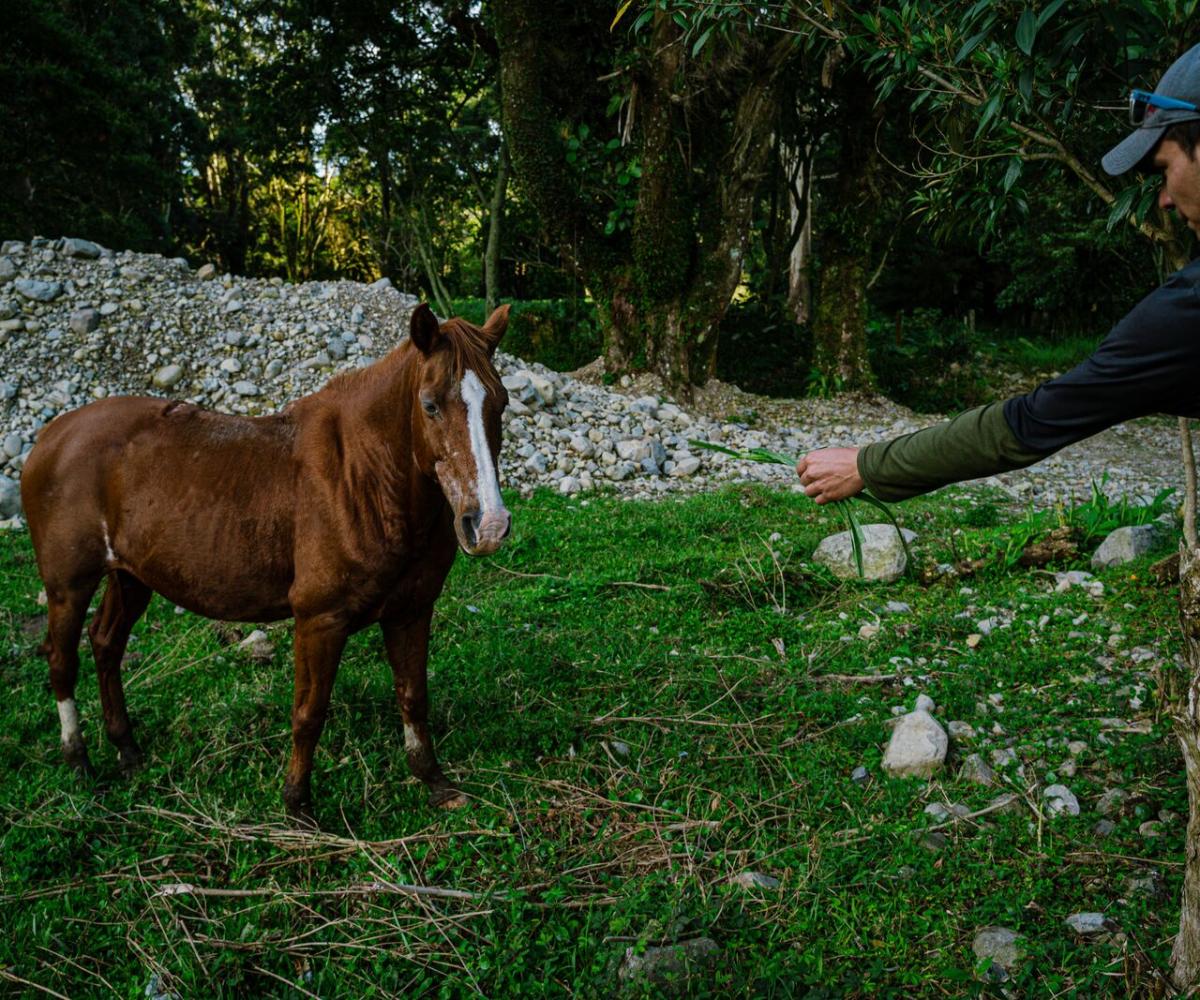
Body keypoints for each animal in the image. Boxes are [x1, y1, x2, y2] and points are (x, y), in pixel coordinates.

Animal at [22, 304, 511, 821]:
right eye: (430, 405)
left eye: (500, 404)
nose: (488, 523)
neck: (364, 477)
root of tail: (52, 435)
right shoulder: (319, 619)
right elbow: (309, 712)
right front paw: (297, 803)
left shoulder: (411, 610)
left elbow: (414, 696)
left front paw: (433, 781)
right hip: (69, 585)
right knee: (62, 659)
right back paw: (77, 758)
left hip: (131, 577)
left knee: (106, 644)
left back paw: (127, 750)